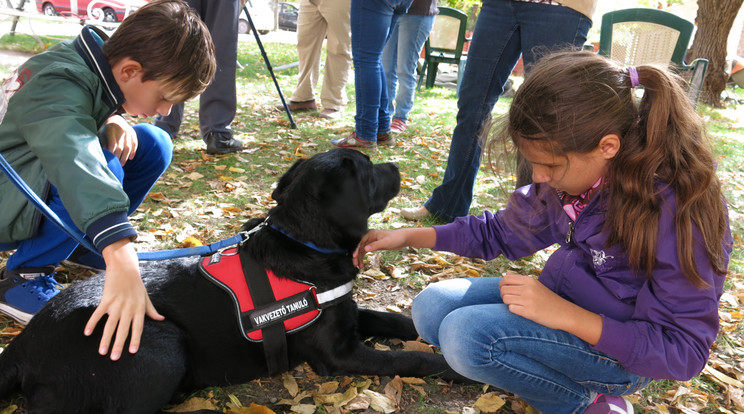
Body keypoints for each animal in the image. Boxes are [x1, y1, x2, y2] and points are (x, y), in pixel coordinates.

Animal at [0, 150, 462, 414]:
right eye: (367, 172)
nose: (397, 165)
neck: (305, 241)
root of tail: (19, 349)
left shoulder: (345, 313)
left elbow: (398, 321)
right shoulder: (340, 355)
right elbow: (412, 359)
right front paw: (454, 367)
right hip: (160, 342)